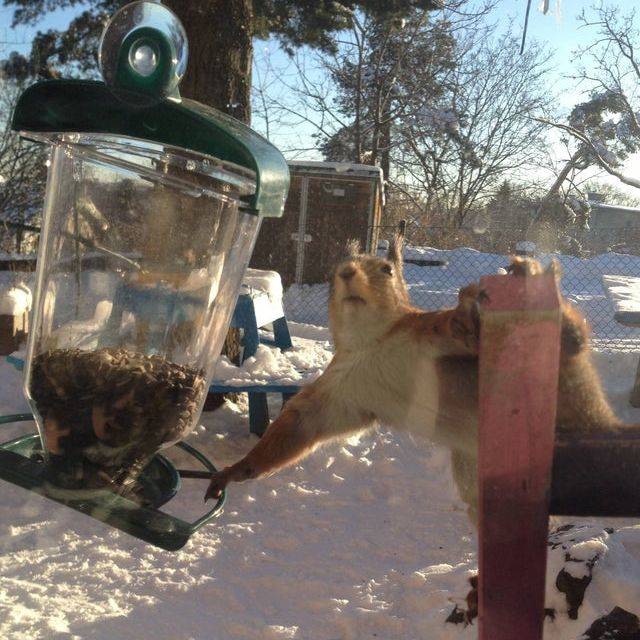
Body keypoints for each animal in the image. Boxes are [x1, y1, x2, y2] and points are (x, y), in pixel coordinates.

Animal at [204, 234, 624, 522]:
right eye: (336, 267)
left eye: (388, 270)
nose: (346, 273)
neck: (371, 341)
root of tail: (600, 421)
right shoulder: (339, 390)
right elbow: (299, 427)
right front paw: (236, 471)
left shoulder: (430, 331)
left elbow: (457, 330)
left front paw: (467, 313)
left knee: (570, 342)